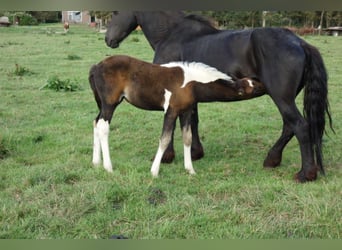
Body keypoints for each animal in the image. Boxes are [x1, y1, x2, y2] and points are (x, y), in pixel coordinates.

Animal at [89, 55, 264, 176]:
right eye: (254, 87)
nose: (265, 86)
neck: (192, 83)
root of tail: (96, 66)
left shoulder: (185, 111)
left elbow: (187, 138)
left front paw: (190, 170)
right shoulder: (171, 110)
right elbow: (165, 139)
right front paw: (154, 171)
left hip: (103, 105)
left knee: (96, 123)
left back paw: (96, 162)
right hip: (110, 104)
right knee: (103, 126)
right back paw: (108, 167)